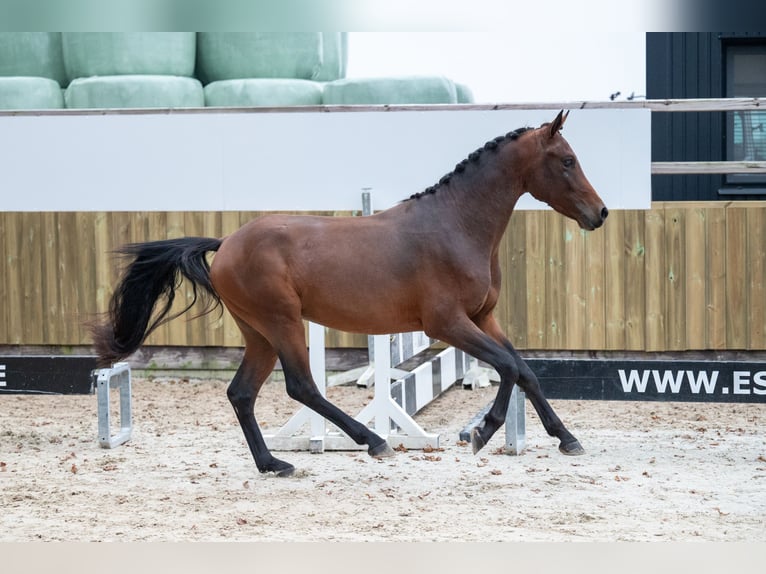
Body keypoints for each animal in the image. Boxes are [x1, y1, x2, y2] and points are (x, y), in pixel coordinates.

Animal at [90, 110, 608, 480]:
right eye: (566, 160)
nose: (600, 213)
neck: (456, 225)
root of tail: (227, 243)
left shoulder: (483, 319)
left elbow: (525, 370)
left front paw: (566, 438)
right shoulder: (447, 324)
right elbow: (507, 367)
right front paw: (482, 432)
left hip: (259, 334)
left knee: (241, 393)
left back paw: (273, 464)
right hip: (283, 323)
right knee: (301, 386)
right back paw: (372, 442)